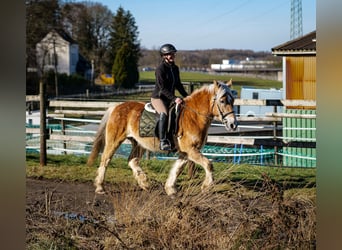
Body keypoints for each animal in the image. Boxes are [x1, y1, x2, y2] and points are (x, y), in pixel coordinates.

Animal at [87, 80, 238, 195]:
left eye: (233, 100)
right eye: (223, 101)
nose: (233, 124)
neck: (194, 116)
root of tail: (117, 106)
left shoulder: (186, 152)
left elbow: (177, 169)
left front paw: (170, 189)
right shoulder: (191, 150)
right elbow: (208, 164)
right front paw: (206, 186)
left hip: (138, 143)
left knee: (132, 160)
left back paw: (145, 183)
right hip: (114, 140)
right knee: (105, 160)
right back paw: (100, 187)